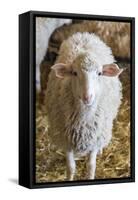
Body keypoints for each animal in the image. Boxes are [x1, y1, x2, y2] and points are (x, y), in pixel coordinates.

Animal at [45, 32, 123, 180]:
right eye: (74, 73)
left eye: (99, 73)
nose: (87, 97)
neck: (83, 122)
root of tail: (84, 34)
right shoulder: (66, 140)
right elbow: (70, 167)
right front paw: (69, 178)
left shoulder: (94, 139)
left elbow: (91, 166)